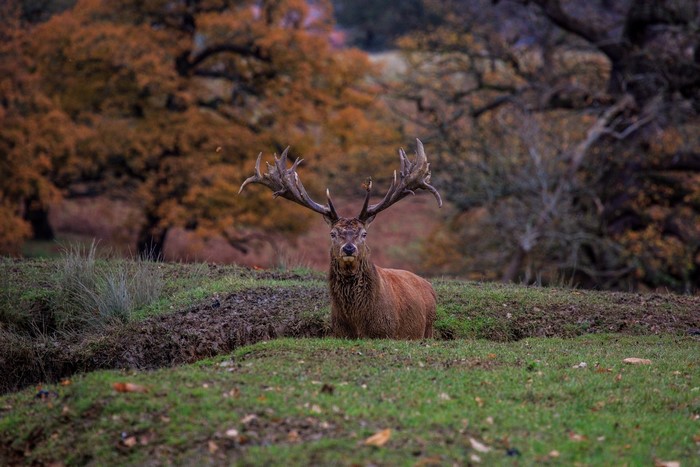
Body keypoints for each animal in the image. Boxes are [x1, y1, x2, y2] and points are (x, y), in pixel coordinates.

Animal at [239, 139, 442, 339]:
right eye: (333, 233)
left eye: (364, 233)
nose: (349, 248)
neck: (358, 323)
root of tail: (429, 285)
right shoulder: (339, 332)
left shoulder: (387, 332)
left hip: (428, 328)